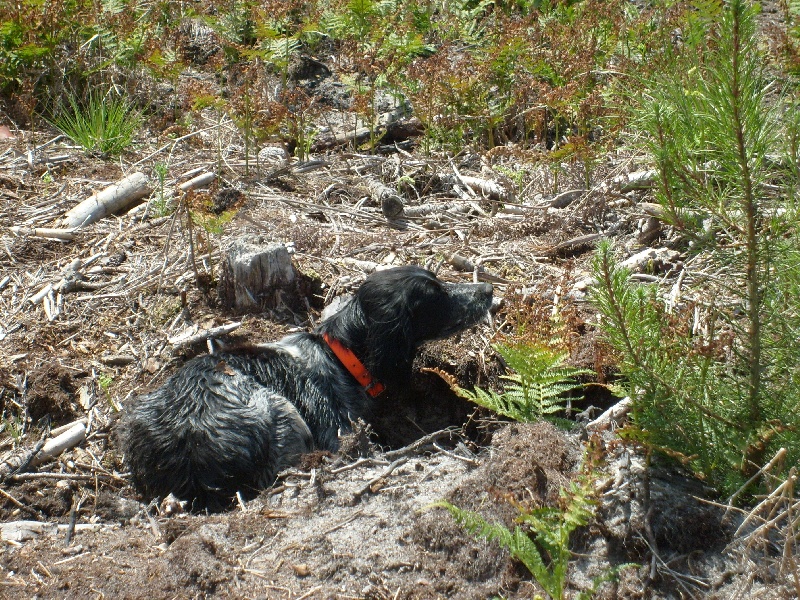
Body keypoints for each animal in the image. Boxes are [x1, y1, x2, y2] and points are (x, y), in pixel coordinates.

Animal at [119, 264, 494, 508]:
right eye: (435, 296)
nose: (488, 290)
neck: (339, 356)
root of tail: (188, 446)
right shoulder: (338, 431)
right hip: (279, 410)